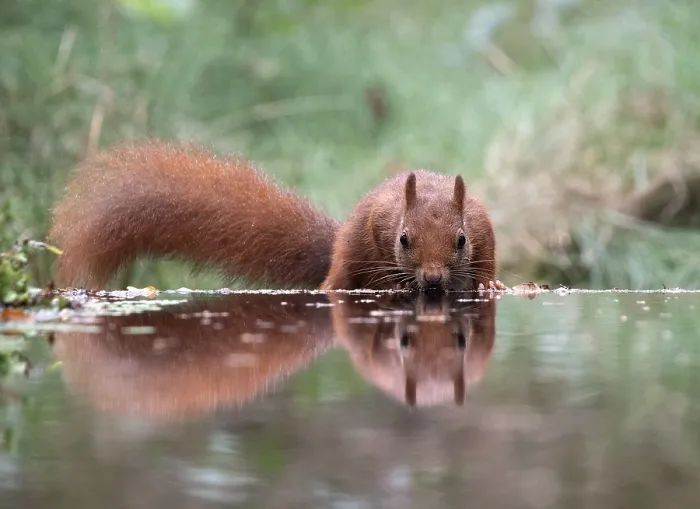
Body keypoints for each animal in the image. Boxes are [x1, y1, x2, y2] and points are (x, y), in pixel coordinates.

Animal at [48, 139, 499, 291]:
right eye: (404, 240)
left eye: (461, 240)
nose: (433, 279)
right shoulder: (379, 221)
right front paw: (397, 283)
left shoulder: (481, 225)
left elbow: (488, 261)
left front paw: (488, 285)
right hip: (345, 261)